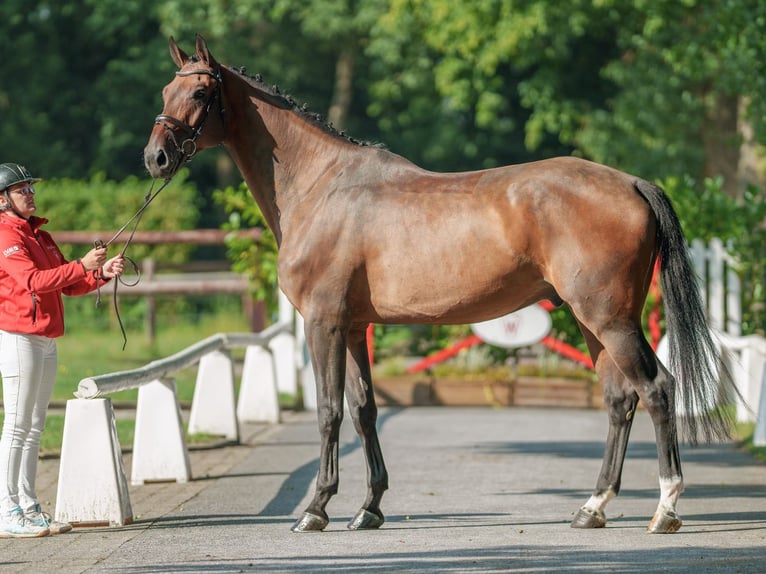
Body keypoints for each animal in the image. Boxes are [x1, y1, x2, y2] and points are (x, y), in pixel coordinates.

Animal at [144, 36, 736, 536]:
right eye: (166, 90)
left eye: (201, 91)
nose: (155, 158)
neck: (322, 186)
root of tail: (632, 182)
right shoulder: (355, 327)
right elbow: (363, 410)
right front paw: (369, 508)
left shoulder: (324, 323)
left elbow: (329, 410)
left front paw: (316, 509)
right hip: (596, 323)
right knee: (620, 400)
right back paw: (592, 508)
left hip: (610, 320)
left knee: (656, 389)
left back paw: (665, 509)